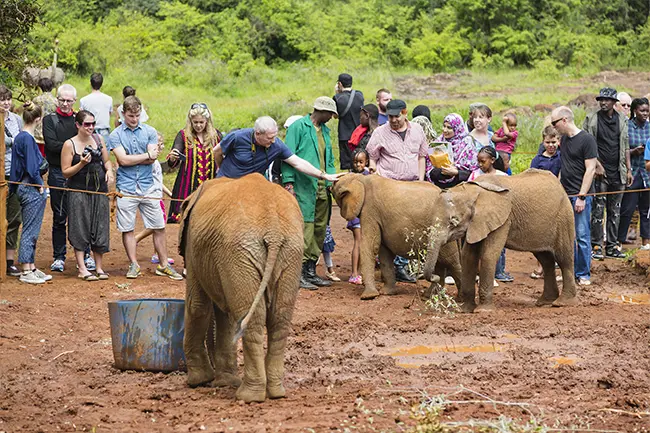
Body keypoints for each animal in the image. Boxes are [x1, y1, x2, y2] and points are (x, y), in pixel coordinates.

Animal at [178, 173, 302, 402]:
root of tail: (273, 228)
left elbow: (197, 306)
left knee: (249, 318)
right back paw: (276, 393)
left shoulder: (193, 247)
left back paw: (248, 396)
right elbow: (224, 315)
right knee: (279, 318)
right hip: (289, 251)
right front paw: (224, 381)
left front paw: (198, 382)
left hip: (241, 250)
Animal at [332, 174, 464, 298]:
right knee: (441, 263)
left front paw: (369, 296)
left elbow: (371, 245)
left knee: (452, 262)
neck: (360, 178)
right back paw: (430, 295)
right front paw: (386, 293)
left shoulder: (370, 210)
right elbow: (384, 253)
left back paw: (460, 299)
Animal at [420, 170, 576, 314]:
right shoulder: (477, 223)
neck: (475, 192)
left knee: (564, 259)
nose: (434, 276)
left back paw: (562, 303)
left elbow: (488, 255)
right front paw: (465, 310)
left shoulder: (502, 220)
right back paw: (545, 302)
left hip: (564, 216)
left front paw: (483, 311)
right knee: (546, 259)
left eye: (454, 221)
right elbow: (468, 257)